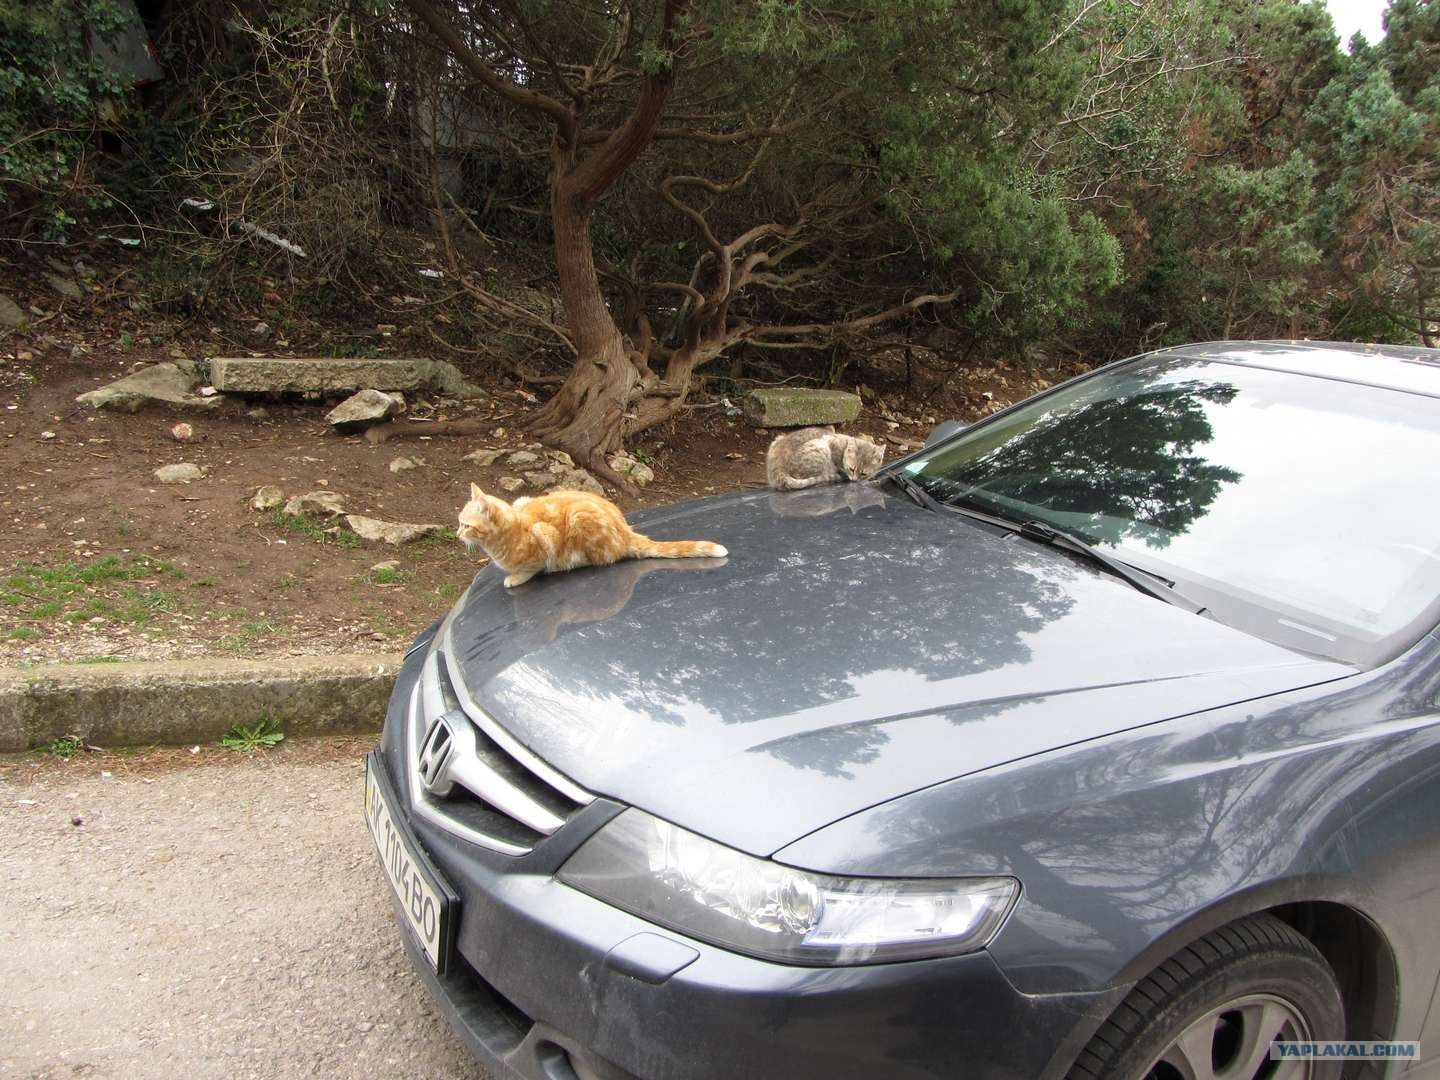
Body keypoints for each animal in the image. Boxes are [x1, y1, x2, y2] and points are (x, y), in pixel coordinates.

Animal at [457, 483, 728, 587]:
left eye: (466, 525)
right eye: (459, 523)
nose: (457, 533)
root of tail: (627, 530)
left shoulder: (544, 534)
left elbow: (532, 567)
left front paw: (516, 577)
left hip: (580, 517)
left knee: (604, 558)